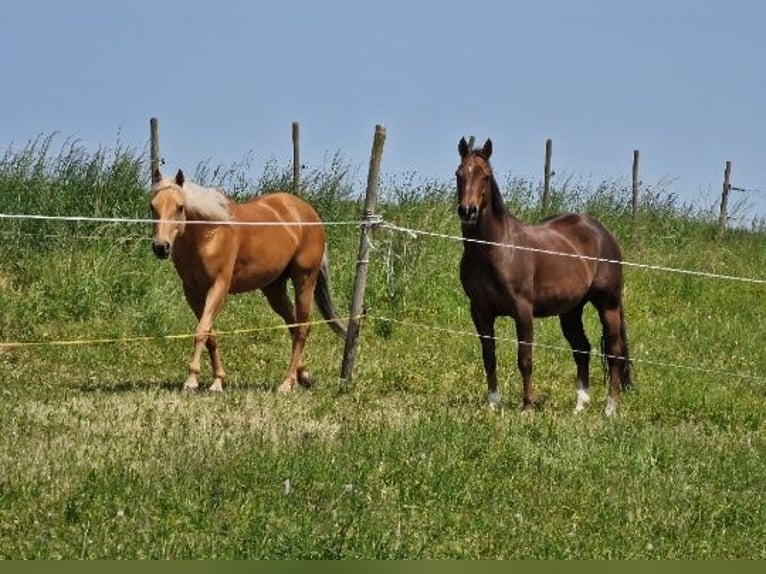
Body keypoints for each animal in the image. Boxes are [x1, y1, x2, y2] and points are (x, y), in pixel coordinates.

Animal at [149, 168, 347, 393]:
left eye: (180, 207)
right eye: (152, 206)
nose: (161, 247)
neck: (208, 233)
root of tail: (309, 214)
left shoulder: (219, 286)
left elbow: (201, 331)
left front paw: (192, 380)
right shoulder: (192, 292)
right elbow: (210, 334)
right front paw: (218, 380)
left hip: (304, 279)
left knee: (303, 327)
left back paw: (287, 383)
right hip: (274, 289)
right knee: (294, 325)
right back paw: (304, 376)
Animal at [455, 138, 632, 415]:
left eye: (485, 176)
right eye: (459, 174)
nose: (467, 211)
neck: (496, 248)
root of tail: (602, 232)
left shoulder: (523, 311)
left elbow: (525, 359)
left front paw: (527, 407)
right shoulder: (480, 311)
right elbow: (489, 357)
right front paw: (493, 403)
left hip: (608, 305)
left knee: (614, 352)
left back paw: (610, 408)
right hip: (571, 311)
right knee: (582, 349)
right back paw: (580, 405)